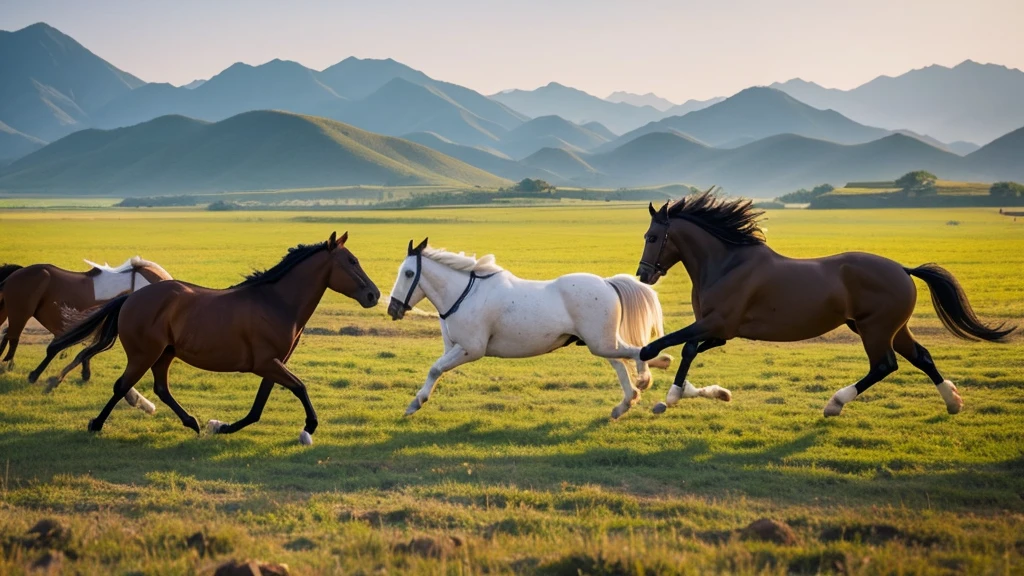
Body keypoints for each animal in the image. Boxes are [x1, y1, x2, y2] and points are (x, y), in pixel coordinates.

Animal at [36, 230, 382, 440]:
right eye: (351, 261)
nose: (374, 294)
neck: (277, 302)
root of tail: (130, 298)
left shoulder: (273, 364)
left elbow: (259, 406)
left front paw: (224, 426)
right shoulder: (266, 363)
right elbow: (299, 387)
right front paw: (310, 426)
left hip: (165, 353)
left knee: (160, 387)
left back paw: (192, 422)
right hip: (145, 353)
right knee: (122, 385)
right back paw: (96, 424)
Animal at [387, 237, 733, 416]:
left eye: (408, 273)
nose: (392, 309)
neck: (463, 294)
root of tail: (608, 283)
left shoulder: (471, 349)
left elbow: (435, 368)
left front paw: (415, 403)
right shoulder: (454, 347)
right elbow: (436, 369)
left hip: (599, 341)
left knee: (635, 353)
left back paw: (654, 378)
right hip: (599, 341)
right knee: (623, 359)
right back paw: (628, 400)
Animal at [634, 190, 1011, 414]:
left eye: (652, 236)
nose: (643, 275)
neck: (727, 263)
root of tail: (903, 270)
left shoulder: (717, 323)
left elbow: (660, 346)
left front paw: (651, 385)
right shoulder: (722, 331)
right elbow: (689, 349)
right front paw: (686, 393)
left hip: (875, 329)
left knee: (885, 365)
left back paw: (835, 403)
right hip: (889, 328)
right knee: (921, 357)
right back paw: (953, 401)